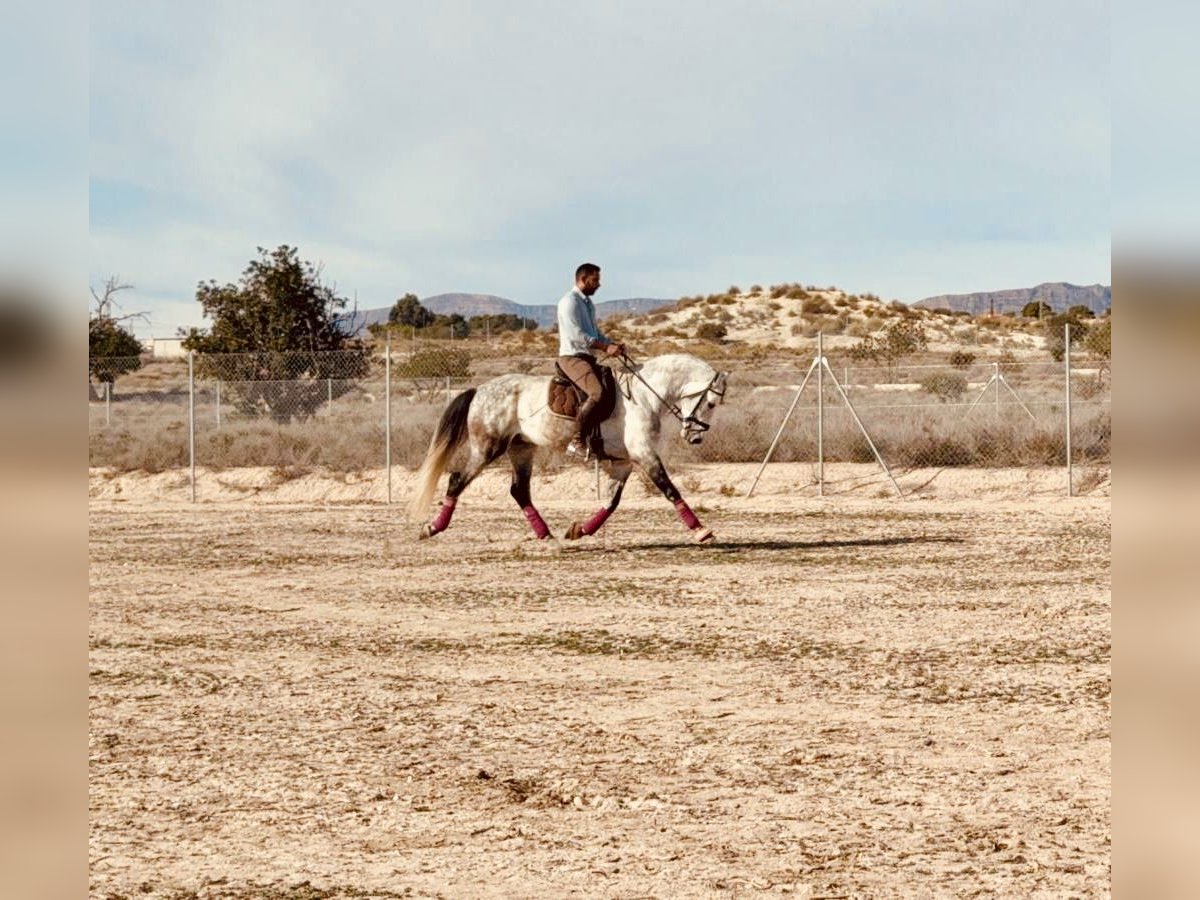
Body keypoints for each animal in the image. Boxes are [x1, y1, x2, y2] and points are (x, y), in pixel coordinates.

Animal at [412, 355, 724, 542]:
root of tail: (479, 390)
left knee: (519, 491)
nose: (695, 437)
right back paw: (433, 527)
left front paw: (579, 530)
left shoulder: (623, 462)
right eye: (710, 403)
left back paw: (544, 533)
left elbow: (611, 502)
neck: (644, 396)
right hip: (487, 448)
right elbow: (670, 489)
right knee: (456, 481)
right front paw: (701, 530)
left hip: (521, 448)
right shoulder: (644, 454)